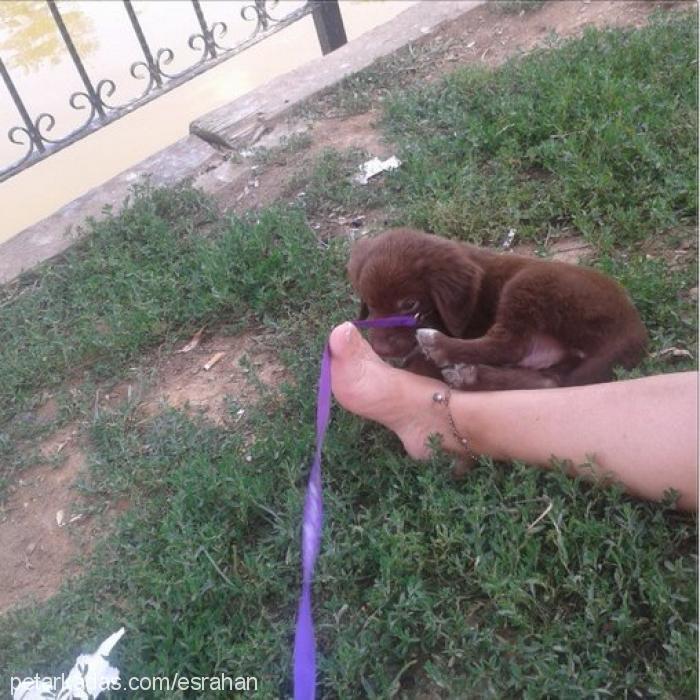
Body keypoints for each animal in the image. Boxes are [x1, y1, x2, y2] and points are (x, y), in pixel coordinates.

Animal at [348, 230, 648, 394]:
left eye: (410, 304)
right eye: (370, 304)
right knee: (548, 382)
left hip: (530, 283)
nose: (380, 348)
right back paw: (470, 377)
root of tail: (632, 331)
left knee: (509, 345)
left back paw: (440, 347)